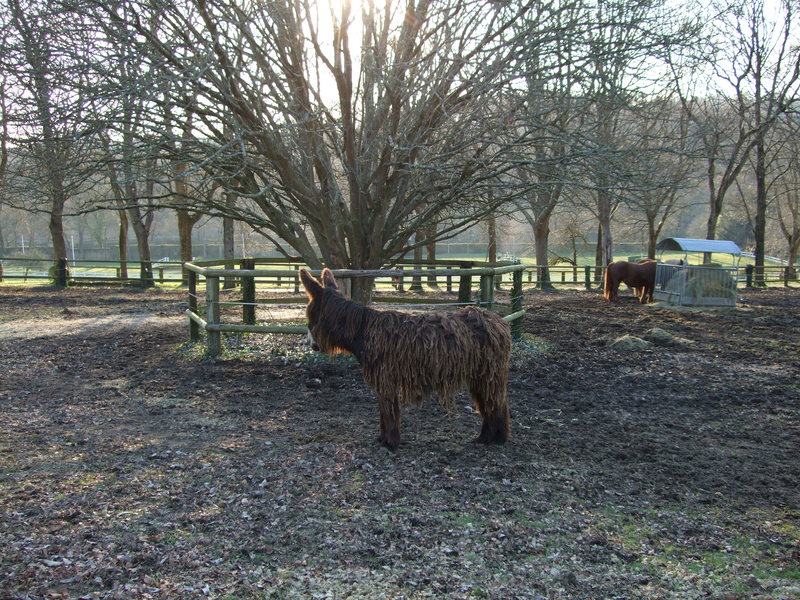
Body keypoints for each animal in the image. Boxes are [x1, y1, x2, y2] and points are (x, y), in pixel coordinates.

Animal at [300, 268, 512, 450]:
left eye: (310, 314)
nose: (311, 344)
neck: (364, 330)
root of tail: (497, 321)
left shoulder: (385, 378)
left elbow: (388, 410)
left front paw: (390, 443)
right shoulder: (384, 379)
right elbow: (384, 410)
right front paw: (383, 439)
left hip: (488, 374)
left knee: (496, 403)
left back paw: (495, 438)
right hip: (480, 375)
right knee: (490, 403)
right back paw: (489, 438)